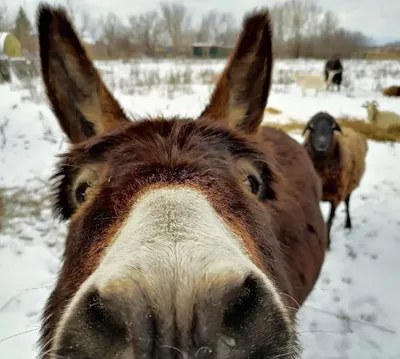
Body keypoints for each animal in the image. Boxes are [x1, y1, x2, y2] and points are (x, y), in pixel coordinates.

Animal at [302, 112, 368, 250]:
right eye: (311, 127)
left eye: (333, 128)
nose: (321, 144)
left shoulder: (335, 197)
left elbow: (329, 221)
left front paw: (327, 244)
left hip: (348, 187)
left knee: (347, 203)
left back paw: (348, 224)